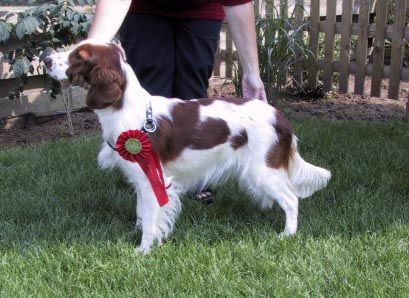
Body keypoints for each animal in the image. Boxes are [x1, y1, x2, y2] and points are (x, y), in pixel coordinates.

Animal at [46, 40, 330, 254]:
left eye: (79, 55)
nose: (46, 59)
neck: (125, 107)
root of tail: (279, 116)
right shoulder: (140, 176)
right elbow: (141, 212)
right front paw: (136, 233)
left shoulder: (154, 177)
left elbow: (151, 217)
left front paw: (143, 250)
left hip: (263, 170)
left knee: (291, 199)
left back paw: (287, 234)